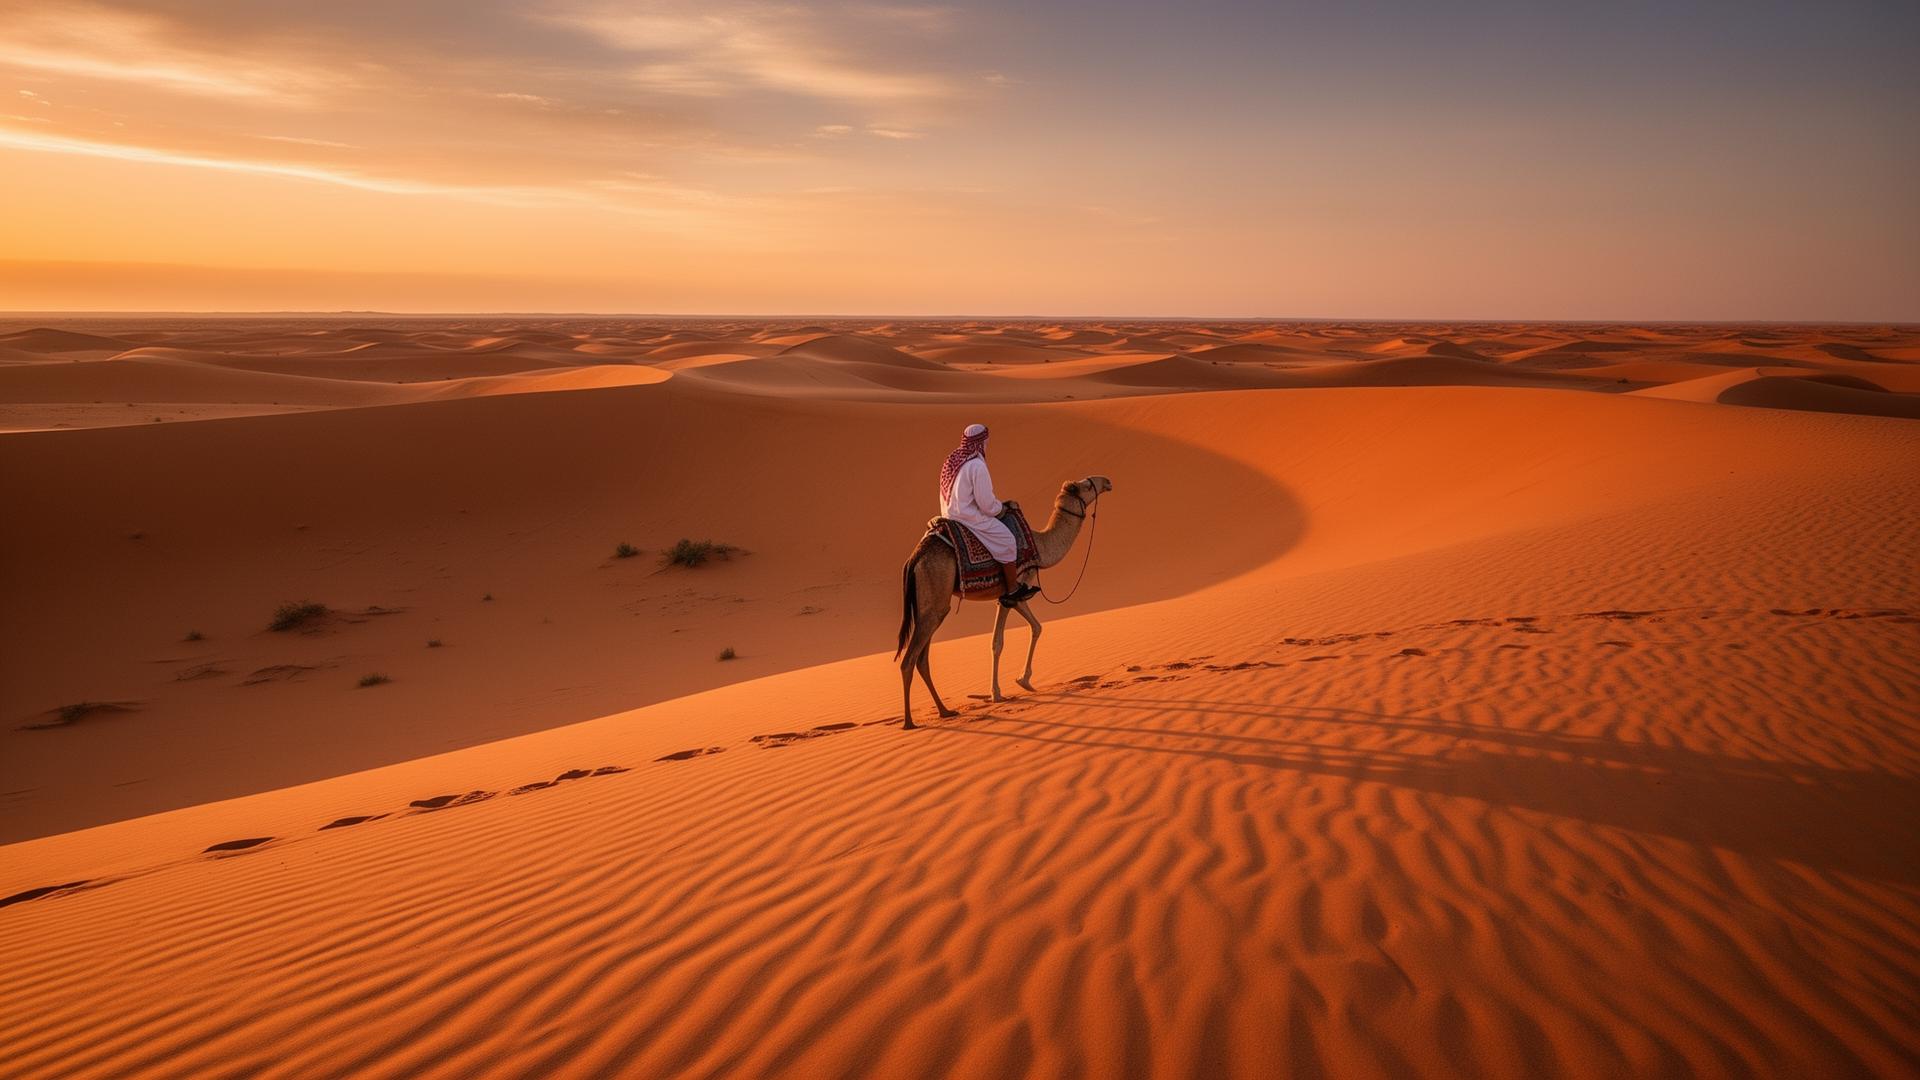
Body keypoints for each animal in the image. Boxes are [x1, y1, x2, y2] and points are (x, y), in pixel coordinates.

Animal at [894, 475, 1112, 728]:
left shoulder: (1006, 596)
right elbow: (1008, 638)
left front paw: (1017, 684)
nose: (1107, 481)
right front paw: (1006, 689)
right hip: (935, 599)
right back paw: (909, 722)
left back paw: (945, 711)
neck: (1040, 546)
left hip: (928, 605)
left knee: (922, 659)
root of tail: (914, 558)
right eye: (1087, 485)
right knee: (909, 659)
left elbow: (1023, 631)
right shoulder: (1017, 589)